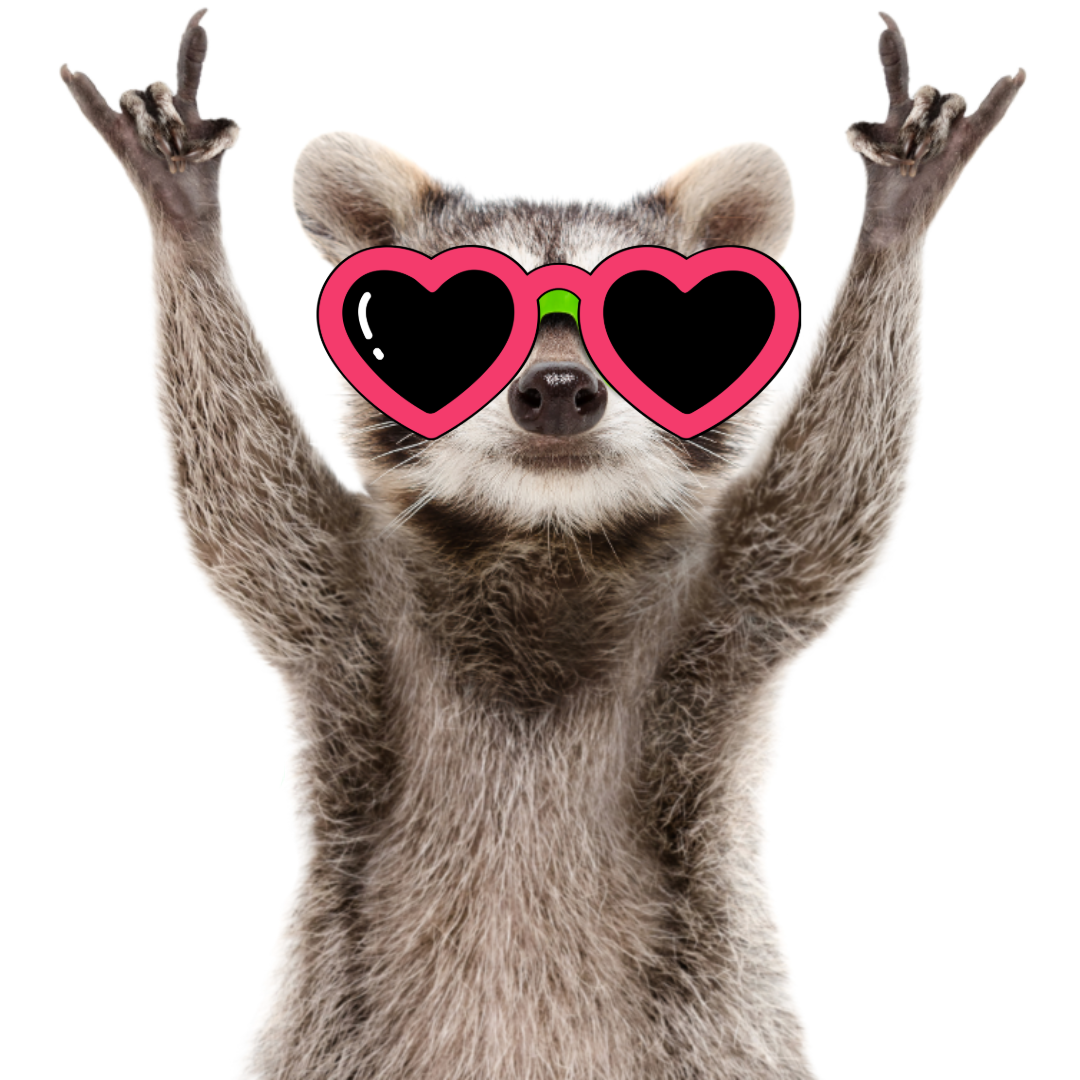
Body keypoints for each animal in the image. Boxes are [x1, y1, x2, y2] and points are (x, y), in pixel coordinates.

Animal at [62, 10, 1024, 1080]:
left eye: (644, 323)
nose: (559, 391)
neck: (542, 531)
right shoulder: (346, 599)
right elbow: (241, 501)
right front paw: (185, 221)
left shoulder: (723, 599)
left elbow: (830, 501)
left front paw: (894, 225)